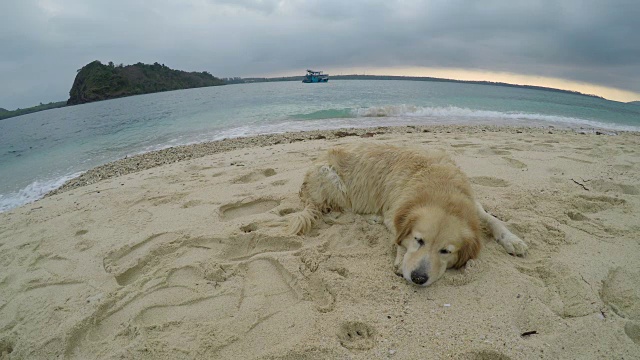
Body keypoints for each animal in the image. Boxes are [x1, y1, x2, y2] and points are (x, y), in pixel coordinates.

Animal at [292, 143, 528, 286]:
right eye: (418, 240)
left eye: (446, 251)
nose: (418, 278)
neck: (440, 187)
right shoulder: (395, 211)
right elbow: (398, 234)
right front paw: (400, 258)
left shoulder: (472, 202)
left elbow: (492, 218)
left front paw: (512, 240)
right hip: (333, 181)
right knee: (339, 212)